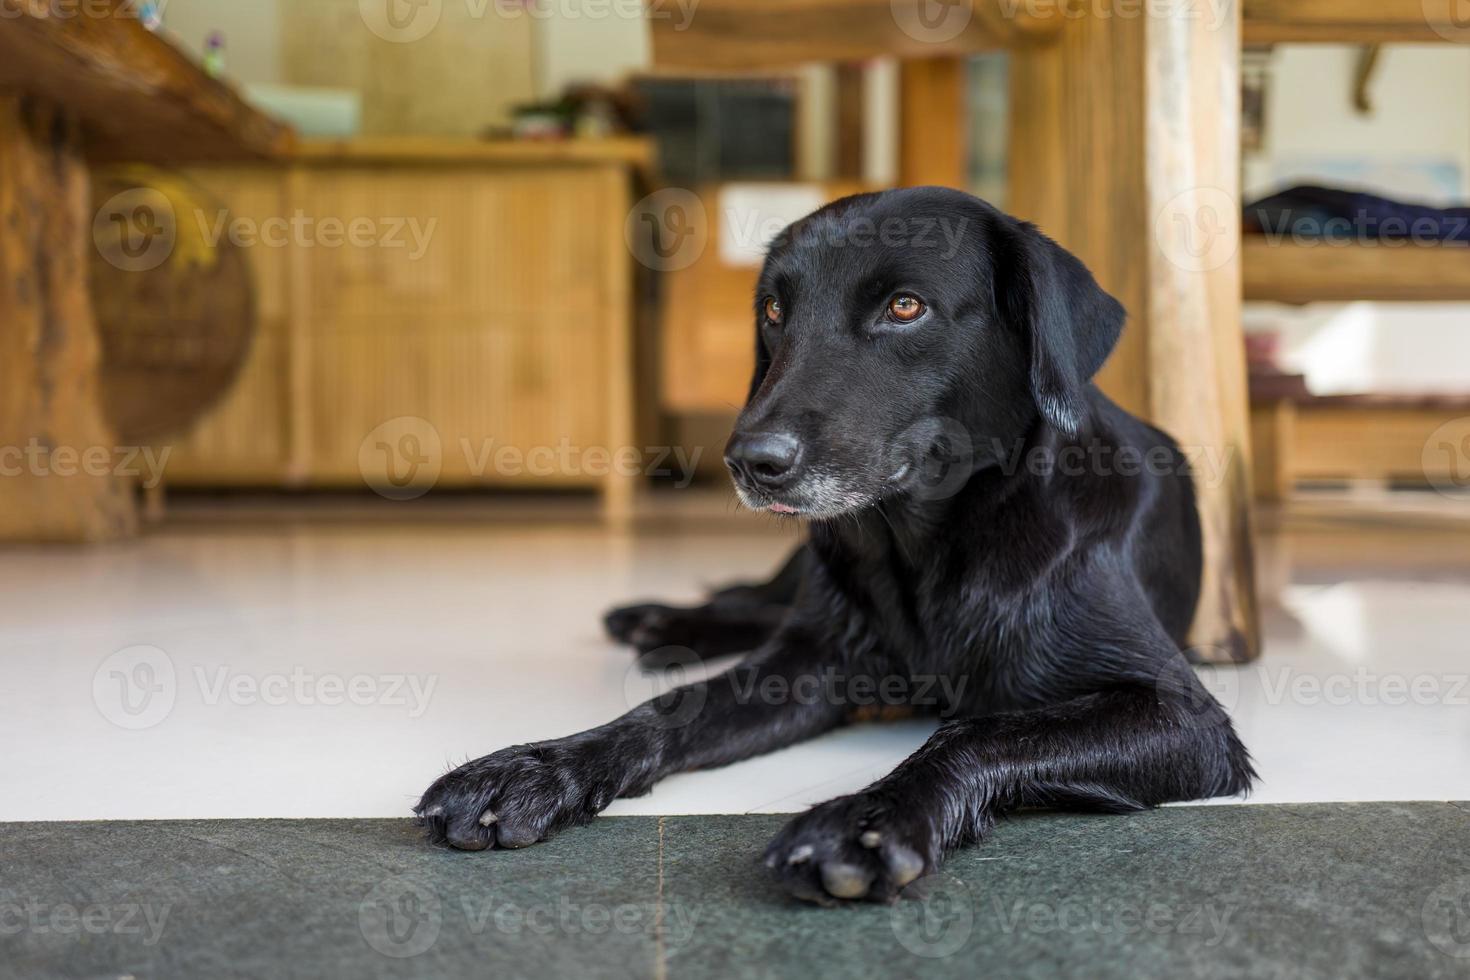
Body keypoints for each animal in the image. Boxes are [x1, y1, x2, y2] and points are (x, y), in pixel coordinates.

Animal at [420, 183, 1258, 905]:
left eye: (905, 306)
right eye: (773, 310)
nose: (751, 461)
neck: (929, 545)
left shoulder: (1183, 716)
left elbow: (979, 731)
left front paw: (866, 823)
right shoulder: (810, 660)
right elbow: (672, 711)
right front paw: (535, 768)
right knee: (755, 602)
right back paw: (658, 624)